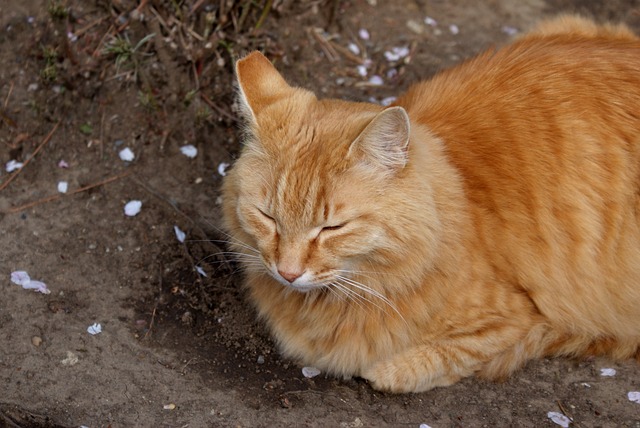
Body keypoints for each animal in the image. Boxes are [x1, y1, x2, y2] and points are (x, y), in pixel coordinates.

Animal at [222, 15, 640, 392]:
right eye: (268, 217)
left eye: (332, 228)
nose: (288, 273)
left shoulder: (520, 319)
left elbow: (424, 363)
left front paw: (386, 369)